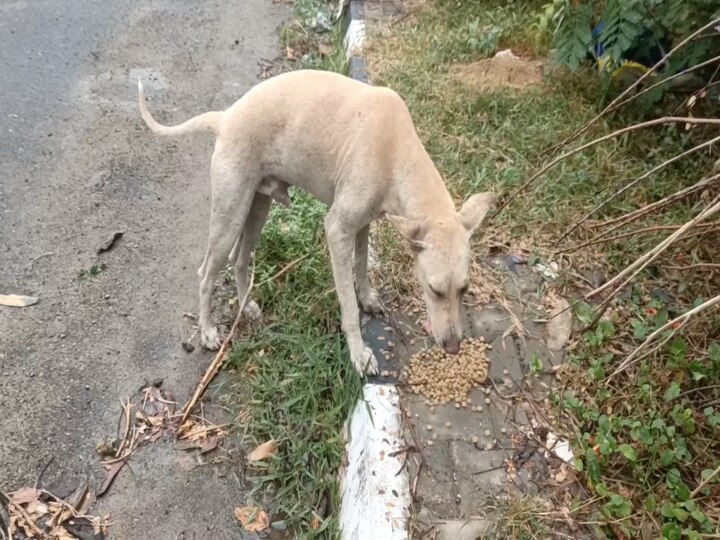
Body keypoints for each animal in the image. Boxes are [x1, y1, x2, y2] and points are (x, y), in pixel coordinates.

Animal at [137, 68, 492, 376]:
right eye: (433, 289)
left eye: (465, 288)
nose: (453, 347)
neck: (395, 150)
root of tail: (224, 117)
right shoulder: (338, 229)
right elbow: (348, 305)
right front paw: (359, 354)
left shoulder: (362, 225)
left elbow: (361, 266)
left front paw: (368, 298)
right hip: (230, 217)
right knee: (206, 274)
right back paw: (208, 330)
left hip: (257, 209)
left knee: (240, 260)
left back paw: (246, 307)